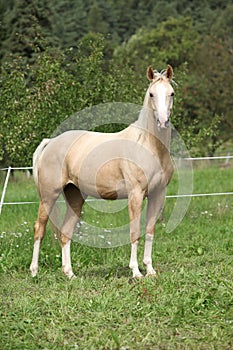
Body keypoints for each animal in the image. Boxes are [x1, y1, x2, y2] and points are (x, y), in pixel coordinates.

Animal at [29, 65, 175, 278]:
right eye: (151, 94)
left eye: (171, 93)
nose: (163, 122)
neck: (148, 145)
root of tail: (51, 142)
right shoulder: (136, 194)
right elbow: (134, 233)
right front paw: (136, 272)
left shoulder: (158, 194)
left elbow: (149, 231)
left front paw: (150, 270)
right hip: (48, 196)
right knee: (39, 228)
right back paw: (34, 271)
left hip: (75, 196)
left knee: (65, 233)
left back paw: (70, 274)